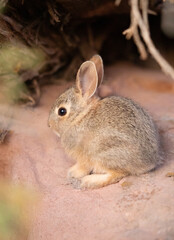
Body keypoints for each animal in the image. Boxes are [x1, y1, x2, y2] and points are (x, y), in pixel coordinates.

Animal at [48, 54, 160, 189]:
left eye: (62, 111)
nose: (49, 125)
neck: (81, 116)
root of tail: (149, 163)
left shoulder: (84, 156)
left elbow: (83, 167)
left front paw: (72, 172)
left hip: (104, 153)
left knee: (117, 174)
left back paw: (89, 181)